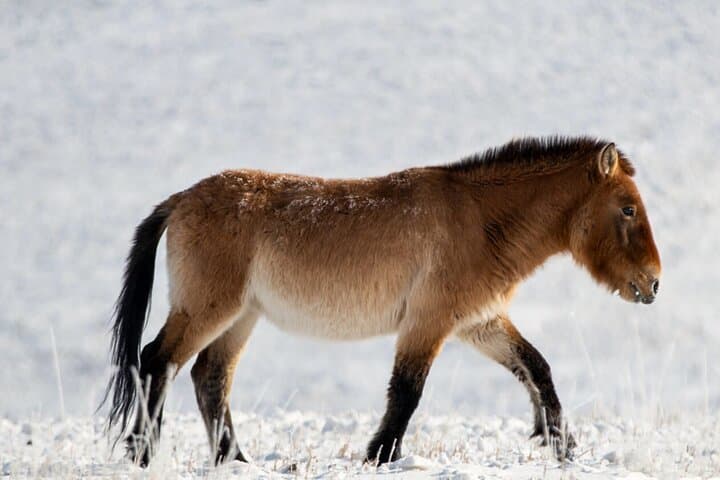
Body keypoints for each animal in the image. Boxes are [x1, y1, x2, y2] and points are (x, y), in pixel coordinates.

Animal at [101, 136, 661, 467]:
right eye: (628, 208)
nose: (653, 284)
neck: (479, 220)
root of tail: (182, 199)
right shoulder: (428, 322)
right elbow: (407, 392)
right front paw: (380, 455)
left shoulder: (479, 322)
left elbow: (537, 368)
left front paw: (562, 445)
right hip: (208, 308)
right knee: (157, 362)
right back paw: (142, 455)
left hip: (242, 316)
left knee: (209, 378)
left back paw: (236, 460)